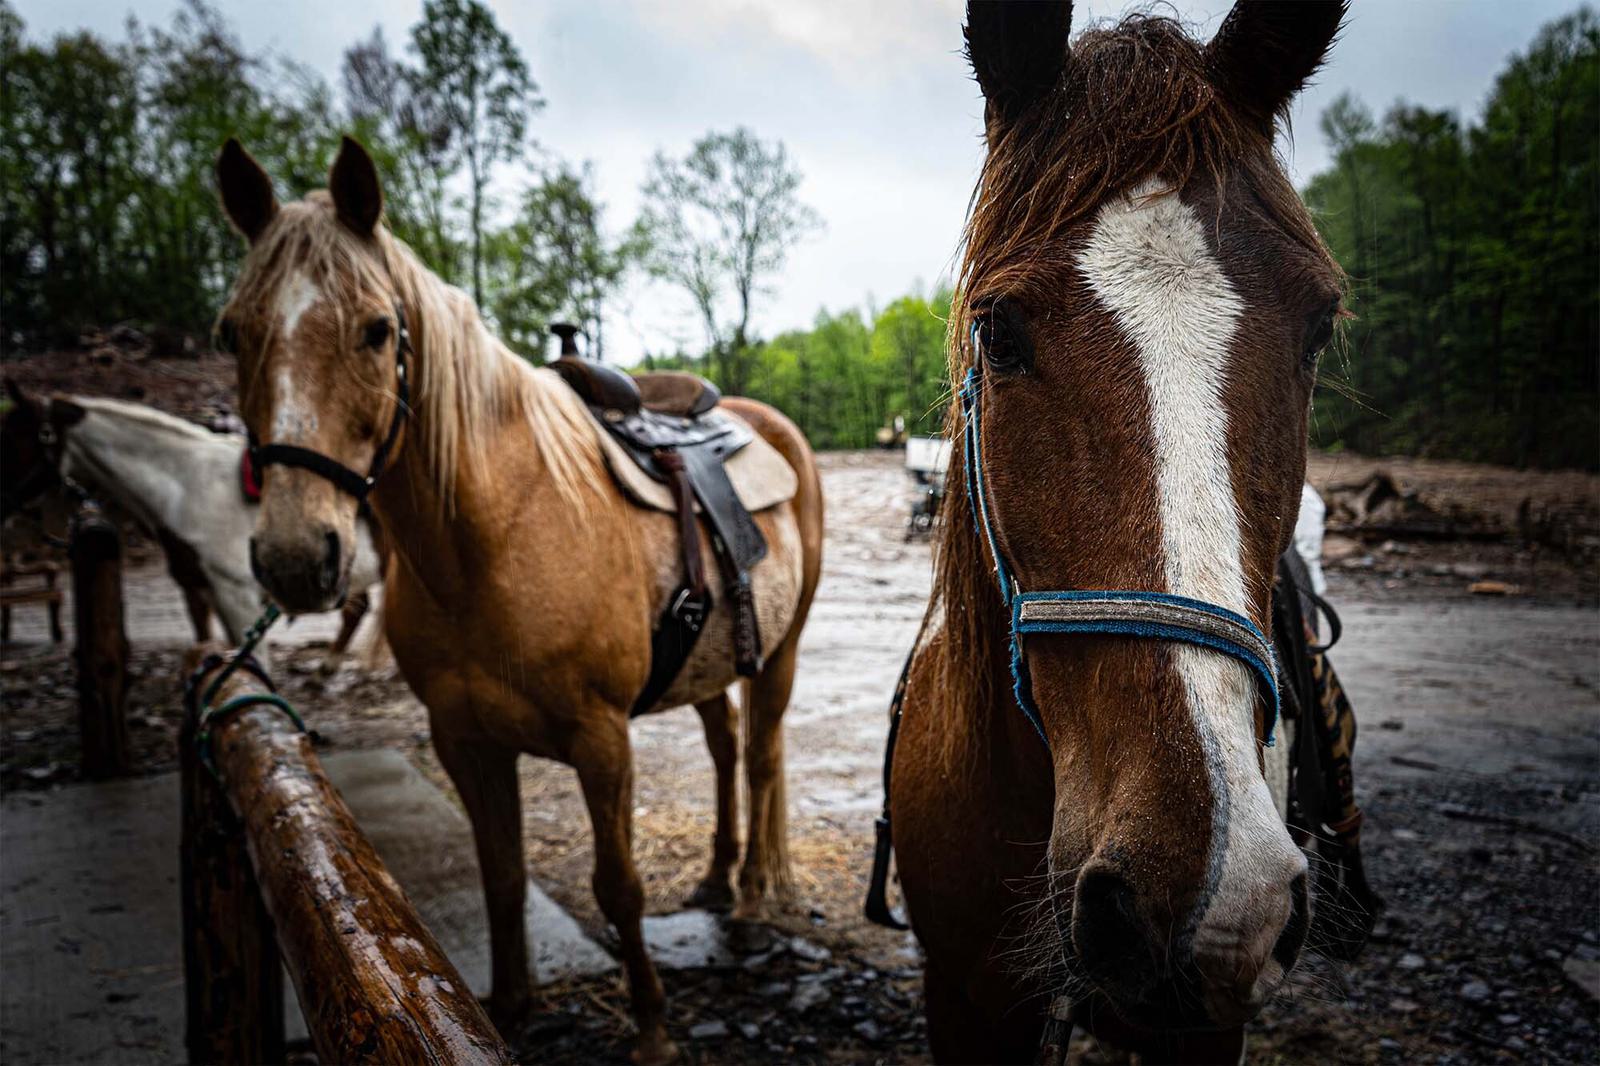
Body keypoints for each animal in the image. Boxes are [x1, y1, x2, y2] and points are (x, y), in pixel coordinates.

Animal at [213, 136, 824, 1063]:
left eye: (377, 330)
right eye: (233, 332)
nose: (293, 556)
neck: (494, 536)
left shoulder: (602, 742)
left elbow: (618, 886)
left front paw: (651, 1030)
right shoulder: (465, 741)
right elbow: (500, 876)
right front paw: (506, 1008)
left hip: (779, 656)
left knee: (758, 758)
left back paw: (752, 891)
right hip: (709, 664)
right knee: (724, 750)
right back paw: (718, 877)